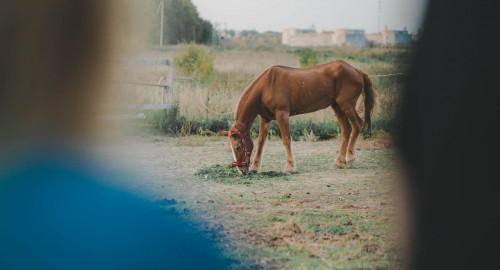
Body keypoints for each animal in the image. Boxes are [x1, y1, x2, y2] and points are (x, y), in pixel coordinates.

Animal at [219, 60, 376, 175]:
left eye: (238, 146)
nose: (241, 170)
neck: (266, 85)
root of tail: (356, 70)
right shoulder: (265, 118)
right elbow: (261, 141)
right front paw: (255, 167)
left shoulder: (282, 114)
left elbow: (286, 139)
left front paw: (289, 167)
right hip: (337, 107)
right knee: (346, 129)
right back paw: (339, 162)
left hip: (346, 106)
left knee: (357, 124)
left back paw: (350, 158)